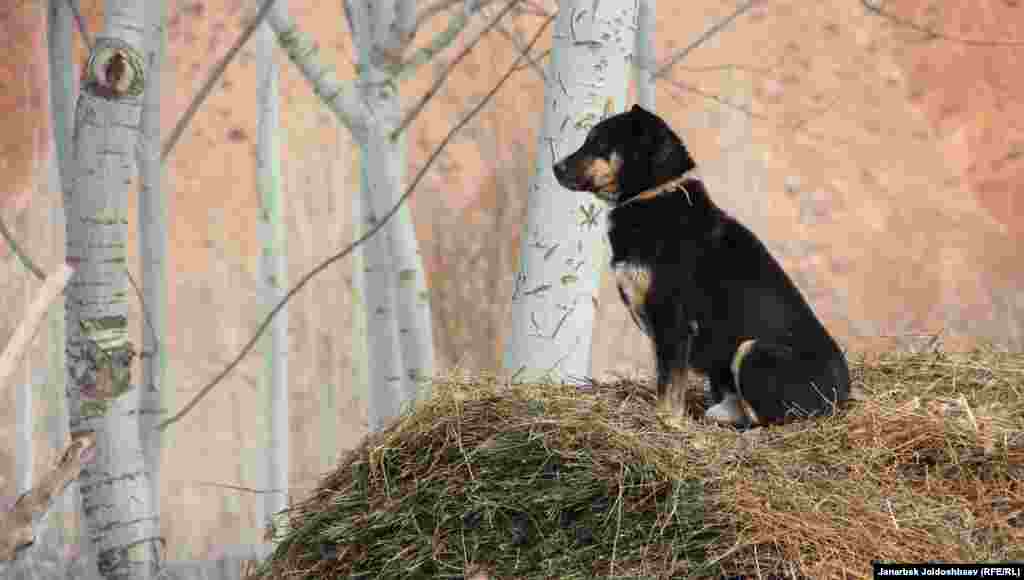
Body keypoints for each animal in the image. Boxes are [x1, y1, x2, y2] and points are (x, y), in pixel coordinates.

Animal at [552, 105, 847, 432]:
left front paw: (667, 421)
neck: (655, 194)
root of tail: (842, 396)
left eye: (599, 143)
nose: (555, 168)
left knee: (769, 419)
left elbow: (670, 385)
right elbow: (664, 378)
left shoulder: (673, 320)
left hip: (753, 351)